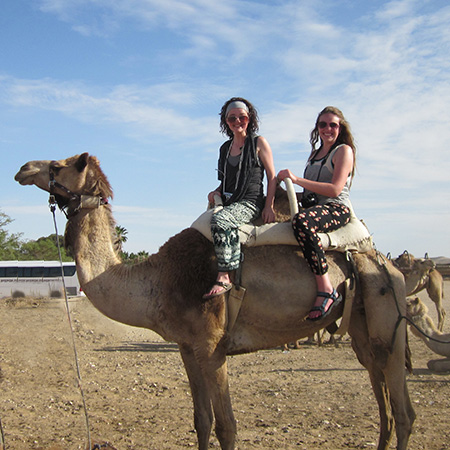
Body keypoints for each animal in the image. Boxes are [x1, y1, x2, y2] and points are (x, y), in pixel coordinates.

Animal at [14, 154, 414, 450]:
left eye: (58, 165)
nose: (23, 168)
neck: (160, 280)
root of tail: (385, 260)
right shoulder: (187, 348)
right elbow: (201, 421)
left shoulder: (211, 346)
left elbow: (227, 427)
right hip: (361, 327)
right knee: (383, 399)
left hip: (388, 317)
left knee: (403, 411)